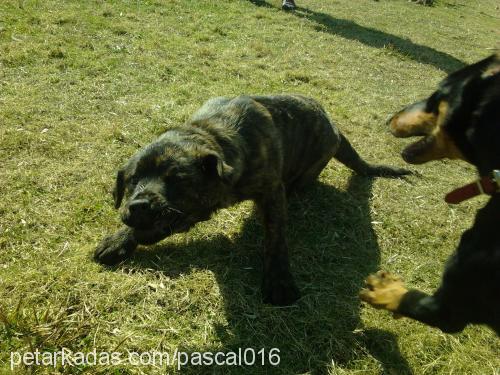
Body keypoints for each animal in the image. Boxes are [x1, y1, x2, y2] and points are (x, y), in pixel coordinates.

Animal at [94, 94, 410, 306]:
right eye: (132, 180)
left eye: (177, 179)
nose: (138, 206)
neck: (217, 138)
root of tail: (334, 126)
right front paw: (119, 240)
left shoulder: (272, 193)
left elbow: (276, 239)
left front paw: (279, 279)